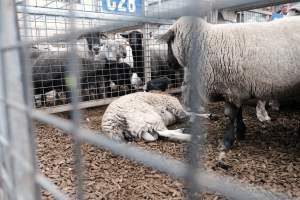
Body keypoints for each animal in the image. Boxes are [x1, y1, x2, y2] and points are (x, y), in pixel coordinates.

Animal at [161, 15, 300, 149]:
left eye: (169, 42)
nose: (168, 63)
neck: (204, 41)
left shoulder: (230, 88)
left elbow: (230, 115)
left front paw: (226, 142)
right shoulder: (236, 87)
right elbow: (238, 113)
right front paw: (240, 132)